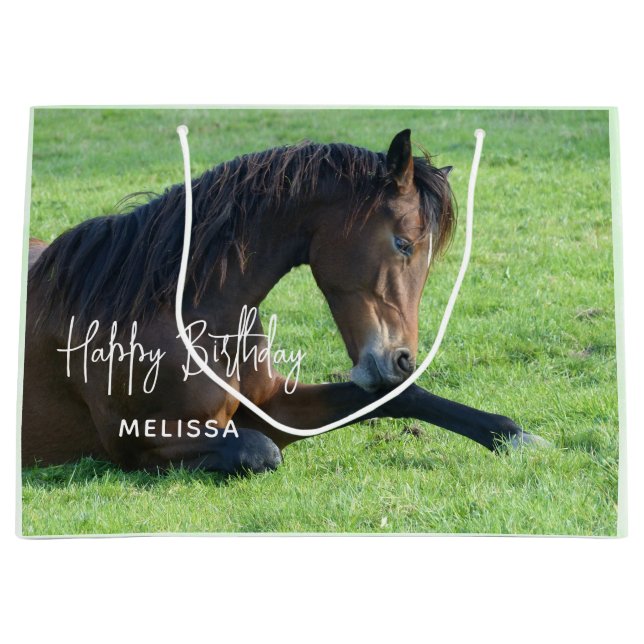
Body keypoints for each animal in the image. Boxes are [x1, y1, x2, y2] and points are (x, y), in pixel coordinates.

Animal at [22, 128, 547, 475]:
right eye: (403, 243)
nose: (401, 359)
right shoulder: (139, 441)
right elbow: (258, 452)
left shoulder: (273, 406)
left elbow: (395, 398)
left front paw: (515, 436)